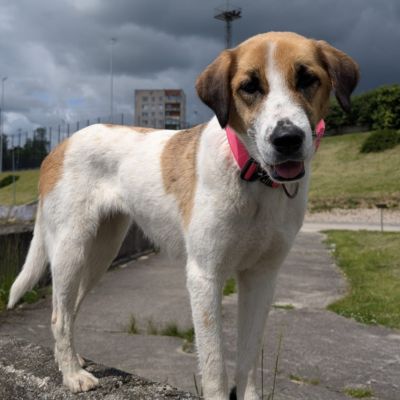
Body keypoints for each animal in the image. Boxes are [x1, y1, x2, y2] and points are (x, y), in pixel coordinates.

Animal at [8, 32, 358, 399]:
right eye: (249, 86)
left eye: (307, 79)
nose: (287, 139)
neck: (251, 176)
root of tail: (59, 147)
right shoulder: (205, 276)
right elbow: (215, 363)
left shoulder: (262, 276)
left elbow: (249, 354)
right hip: (71, 249)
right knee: (58, 315)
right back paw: (72, 375)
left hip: (102, 251)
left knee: (71, 308)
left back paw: (72, 360)